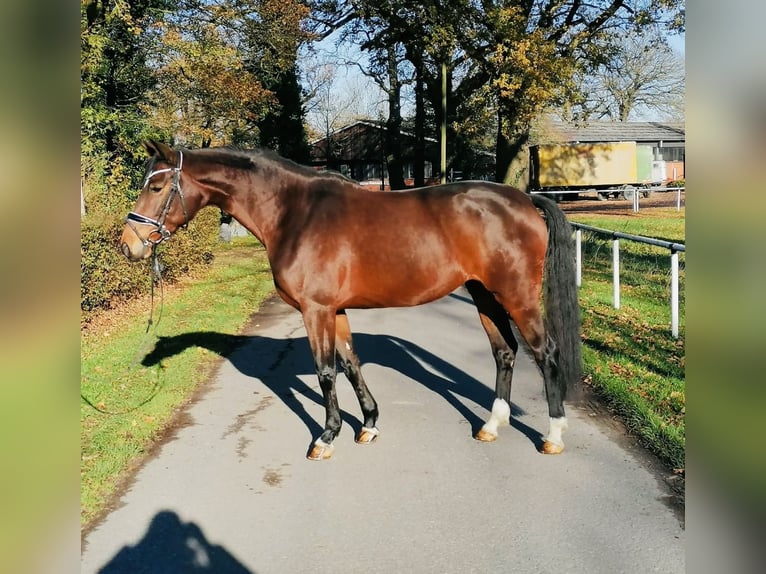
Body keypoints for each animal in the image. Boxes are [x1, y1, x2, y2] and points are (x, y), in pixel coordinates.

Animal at [121, 140, 582, 460]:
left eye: (157, 185)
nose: (128, 245)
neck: (295, 213)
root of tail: (524, 199)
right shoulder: (336, 309)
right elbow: (350, 363)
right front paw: (369, 425)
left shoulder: (315, 310)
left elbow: (325, 371)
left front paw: (326, 437)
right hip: (483, 293)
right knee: (504, 351)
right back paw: (492, 425)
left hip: (516, 295)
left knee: (546, 352)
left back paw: (554, 435)